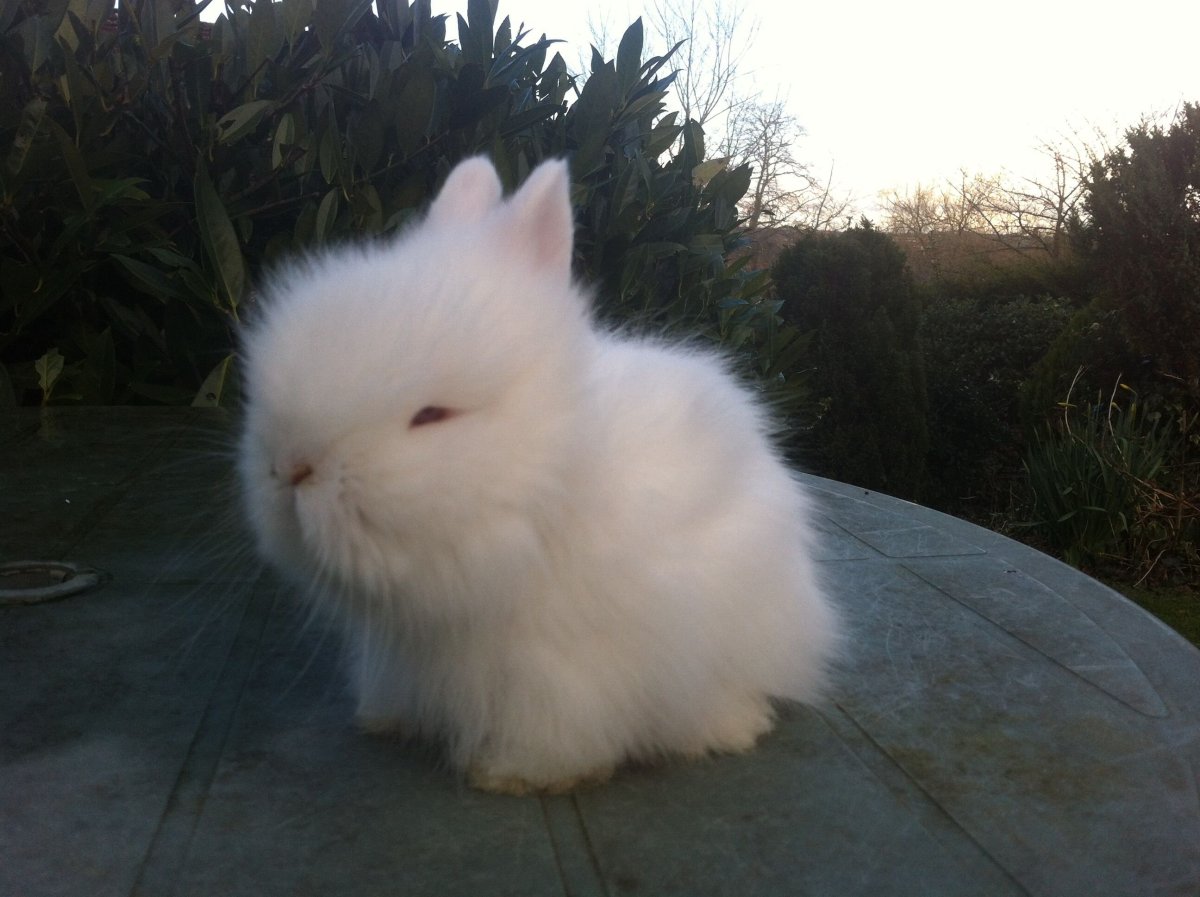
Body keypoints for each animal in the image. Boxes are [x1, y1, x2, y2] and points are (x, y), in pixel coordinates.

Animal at [237, 156, 840, 795]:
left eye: (432, 416)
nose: (290, 469)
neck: (549, 485)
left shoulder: (560, 671)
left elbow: (554, 730)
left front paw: (513, 775)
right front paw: (387, 720)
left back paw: (731, 727)